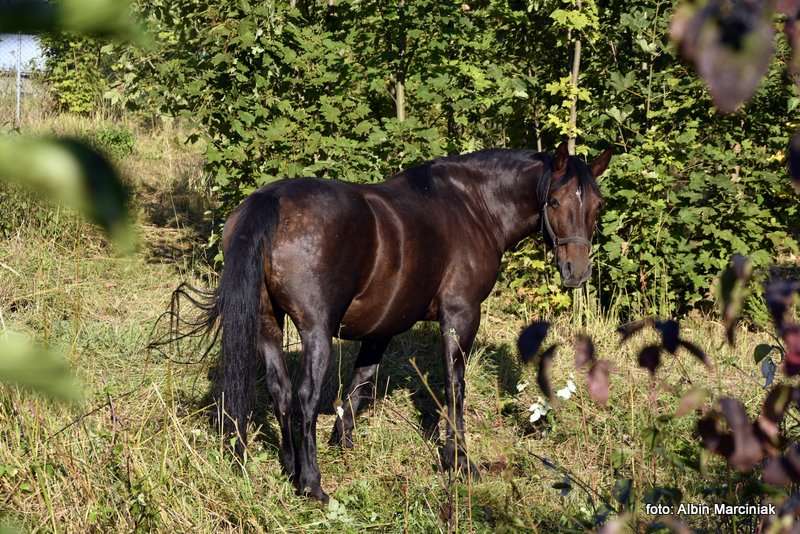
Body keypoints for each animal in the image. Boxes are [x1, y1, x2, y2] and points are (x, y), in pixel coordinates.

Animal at [208, 141, 612, 502]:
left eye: (597, 205)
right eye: (555, 201)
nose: (577, 272)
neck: (475, 205)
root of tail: (272, 200)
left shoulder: (381, 328)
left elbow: (361, 383)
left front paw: (343, 441)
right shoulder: (461, 314)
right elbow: (453, 387)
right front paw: (459, 461)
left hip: (268, 325)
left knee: (281, 391)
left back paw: (291, 468)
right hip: (315, 331)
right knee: (304, 397)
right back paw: (311, 485)